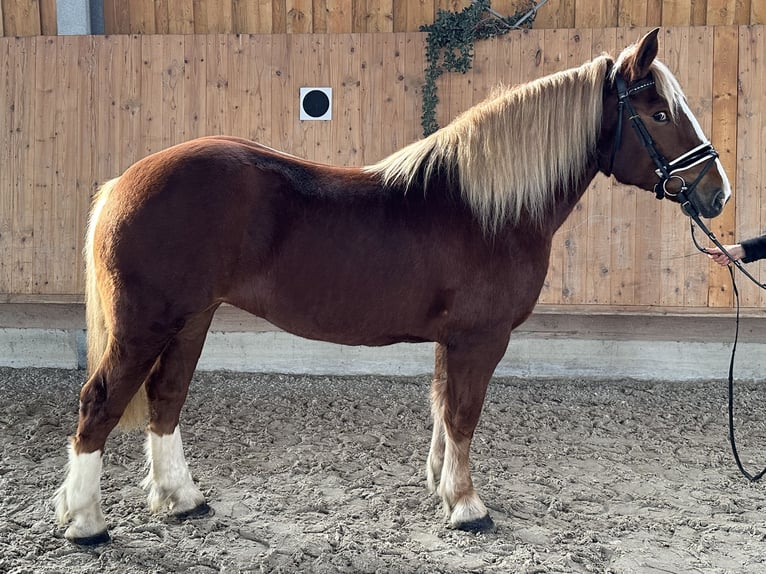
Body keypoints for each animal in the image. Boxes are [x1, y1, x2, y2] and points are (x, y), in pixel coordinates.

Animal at [55, 29, 732, 548]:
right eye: (660, 114)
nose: (716, 193)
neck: (486, 207)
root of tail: (126, 182)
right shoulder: (479, 340)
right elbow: (463, 414)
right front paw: (468, 508)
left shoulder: (451, 341)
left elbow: (442, 409)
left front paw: (442, 487)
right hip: (147, 324)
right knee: (100, 404)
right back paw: (87, 523)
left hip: (191, 319)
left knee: (165, 400)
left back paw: (182, 499)